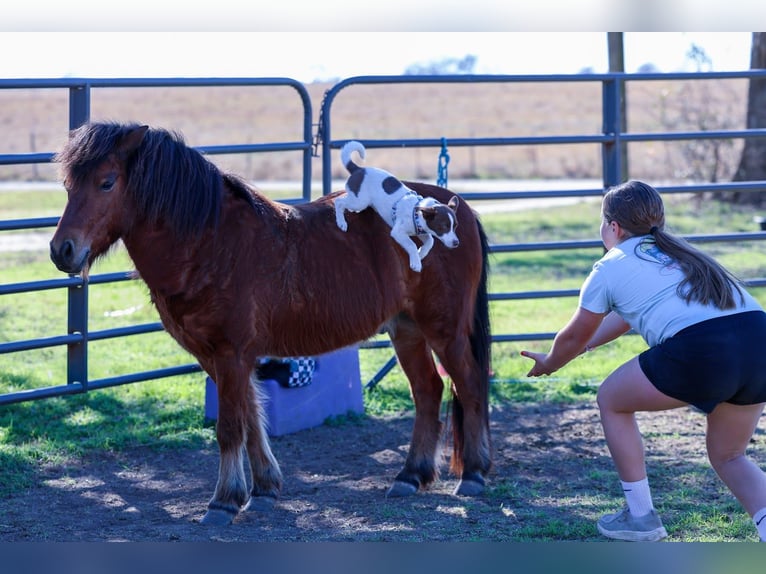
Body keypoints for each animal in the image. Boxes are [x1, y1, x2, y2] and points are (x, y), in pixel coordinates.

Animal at [49, 121, 492, 526]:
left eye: (107, 182)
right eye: (69, 185)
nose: (62, 250)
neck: (211, 244)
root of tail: (457, 212)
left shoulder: (231, 354)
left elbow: (231, 427)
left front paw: (223, 502)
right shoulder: (220, 357)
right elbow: (251, 419)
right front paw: (262, 490)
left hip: (445, 330)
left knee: (469, 384)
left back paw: (472, 474)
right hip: (407, 330)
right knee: (428, 391)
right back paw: (410, 476)